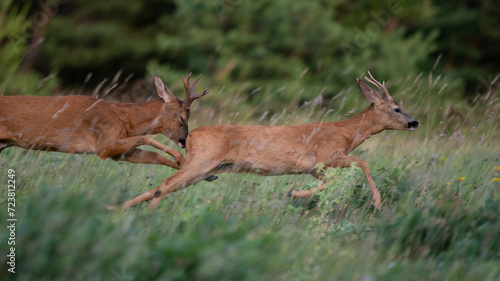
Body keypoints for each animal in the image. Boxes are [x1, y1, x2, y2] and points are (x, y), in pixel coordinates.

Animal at [0, 72, 207, 168]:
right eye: (182, 116)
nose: (183, 140)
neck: (125, 119)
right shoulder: (103, 144)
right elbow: (145, 138)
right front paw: (180, 157)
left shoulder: (116, 152)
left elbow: (154, 157)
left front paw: (193, 169)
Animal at [120, 71, 418, 209]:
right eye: (396, 108)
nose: (414, 122)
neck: (346, 133)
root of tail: (191, 135)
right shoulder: (327, 155)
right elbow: (362, 161)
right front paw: (377, 202)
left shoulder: (315, 167)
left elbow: (333, 179)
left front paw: (295, 193)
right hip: (203, 160)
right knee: (165, 184)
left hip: (206, 168)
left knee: (163, 185)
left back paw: (120, 208)